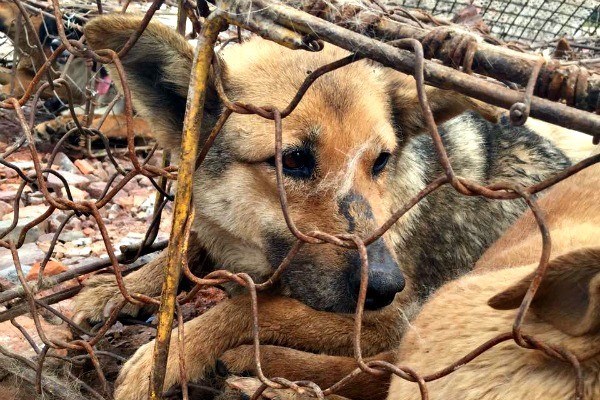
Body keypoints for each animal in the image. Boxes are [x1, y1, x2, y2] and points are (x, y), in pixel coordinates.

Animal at [71, 14, 576, 398]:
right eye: (293, 160)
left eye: (381, 161)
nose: (386, 285)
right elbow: (190, 241)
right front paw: (119, 286)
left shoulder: (390, 319)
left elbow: (256, 306)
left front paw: (171, 355)